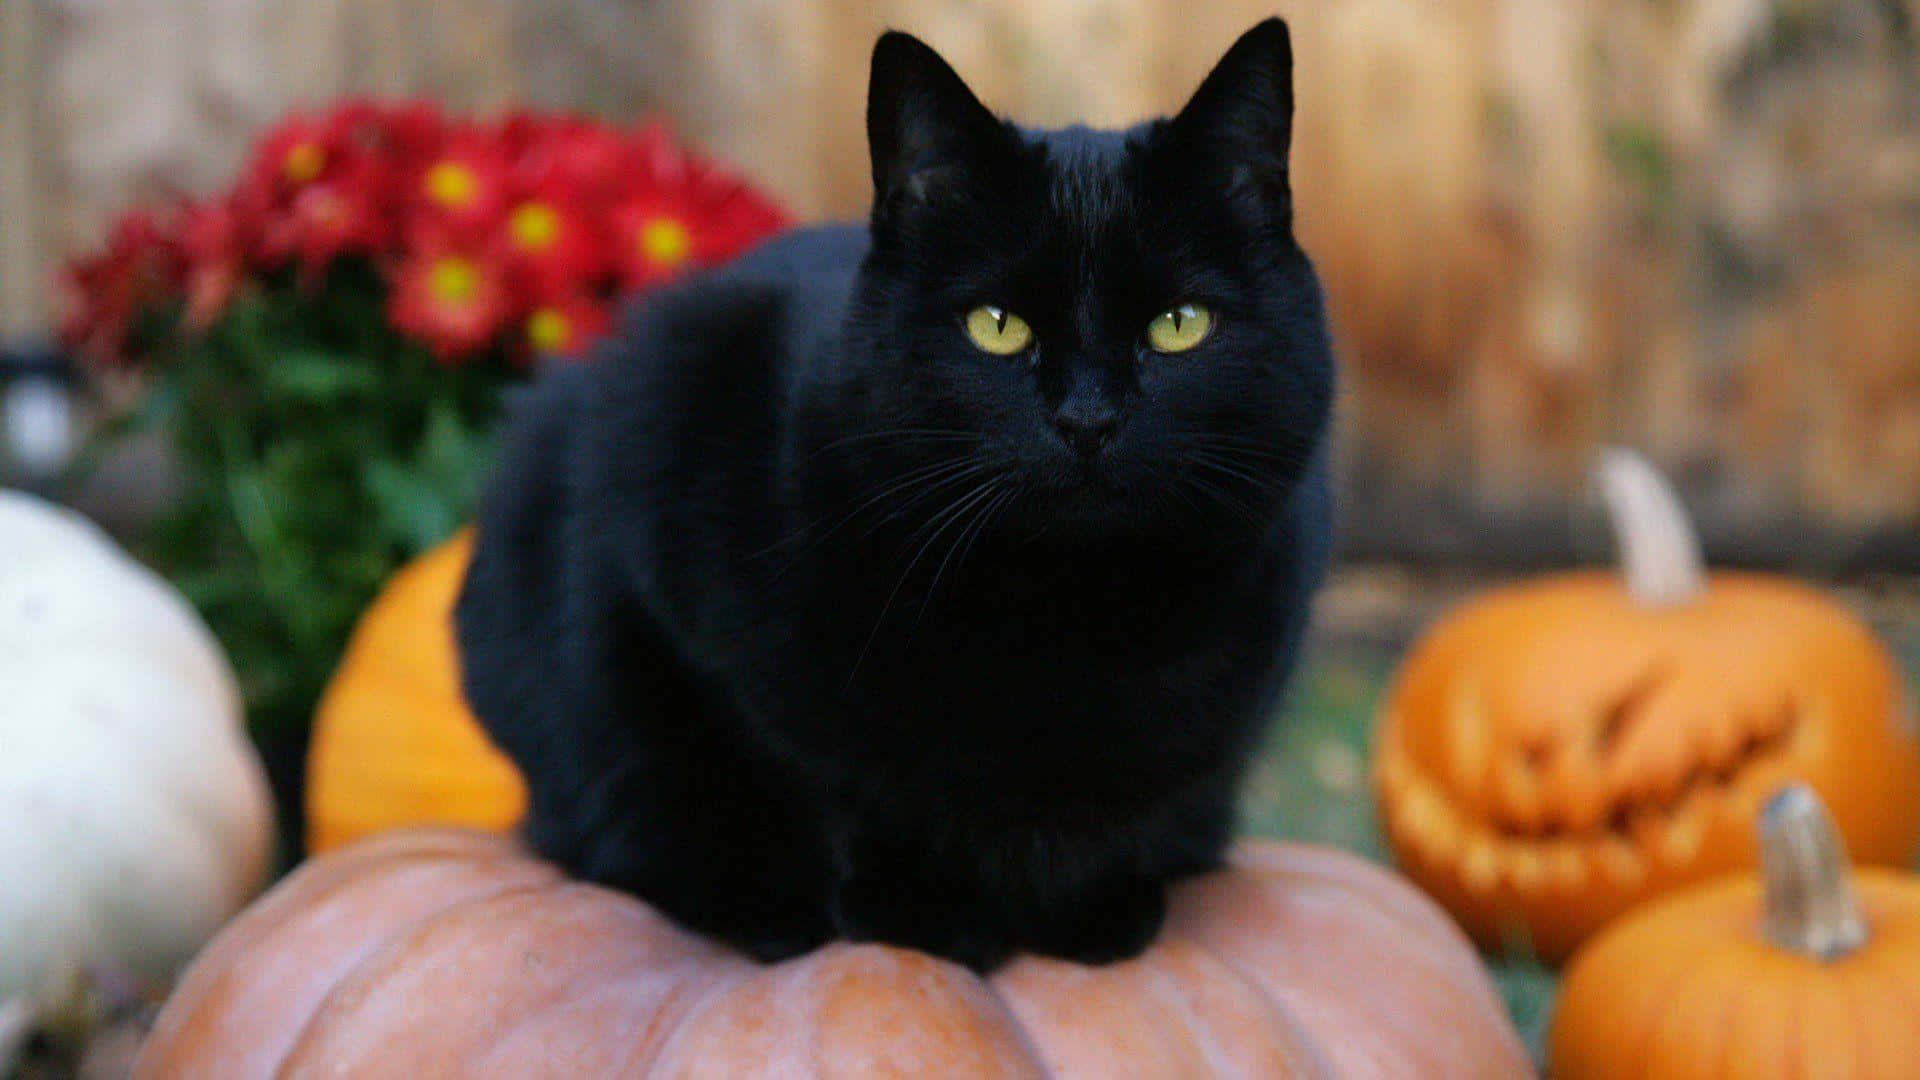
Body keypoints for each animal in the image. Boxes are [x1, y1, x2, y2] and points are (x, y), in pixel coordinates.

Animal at [460, 21, 1336, 968]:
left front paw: (1090, 908)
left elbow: (1137, 805)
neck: (1067, 618)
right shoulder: (667, 519)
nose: (1088, 417)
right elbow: (838, 782)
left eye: (1179, 325)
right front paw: (922, 911)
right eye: (997, 326)